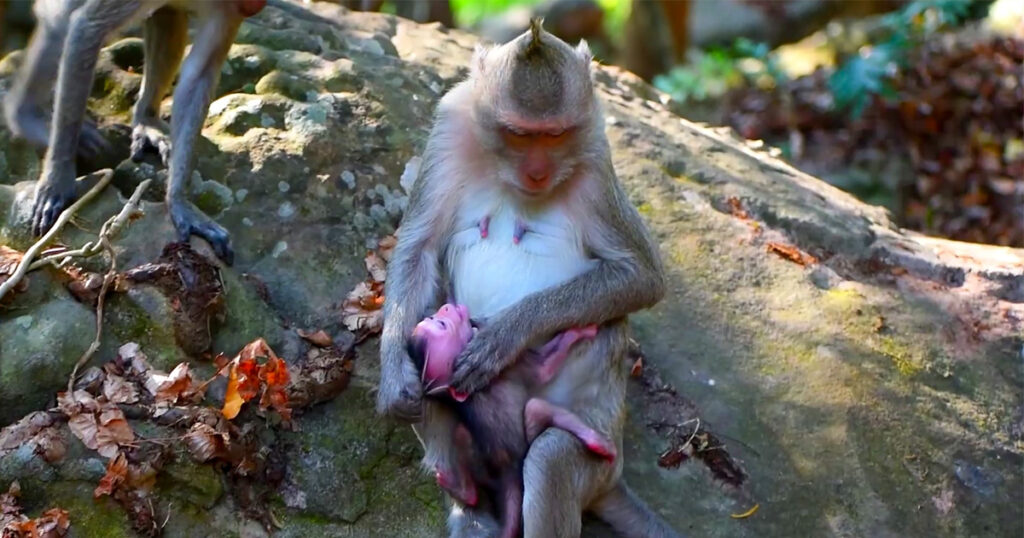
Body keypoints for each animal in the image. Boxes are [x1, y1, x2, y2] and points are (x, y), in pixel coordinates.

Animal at [4, 0, 269, 265]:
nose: (255, 7)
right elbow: (87, 28)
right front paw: (57, 179)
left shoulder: (229, 9)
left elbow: (198, 75)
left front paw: (179, 203)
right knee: (59, 18)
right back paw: (27, 117)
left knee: (168, 15)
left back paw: (146, 120)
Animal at [407, 302, 615, 538]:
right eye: (442, 324)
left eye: (437, 319)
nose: (446, 307)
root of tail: (509, 469)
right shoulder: (512, 364)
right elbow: (545, 367)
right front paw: (580, 331)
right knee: (536, 407)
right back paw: (596, 441)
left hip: (486, 470)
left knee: (460, 434)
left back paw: (461, 488)